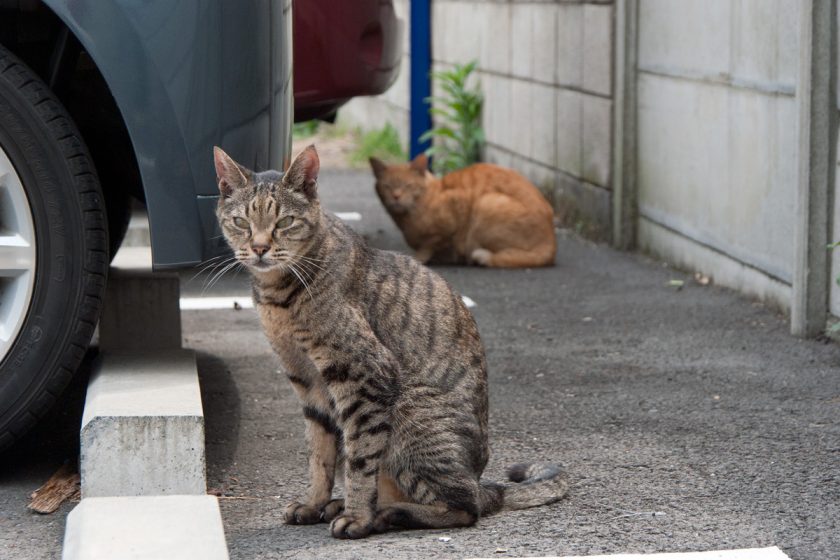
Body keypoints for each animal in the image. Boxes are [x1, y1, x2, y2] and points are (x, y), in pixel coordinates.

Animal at [370, 153, 556, 266]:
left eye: (407, 186)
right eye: (387, 186)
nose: (396, 196)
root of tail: (551, 244)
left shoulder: (457, 205)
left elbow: (431, 244)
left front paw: (420, 258)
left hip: (486, 203)